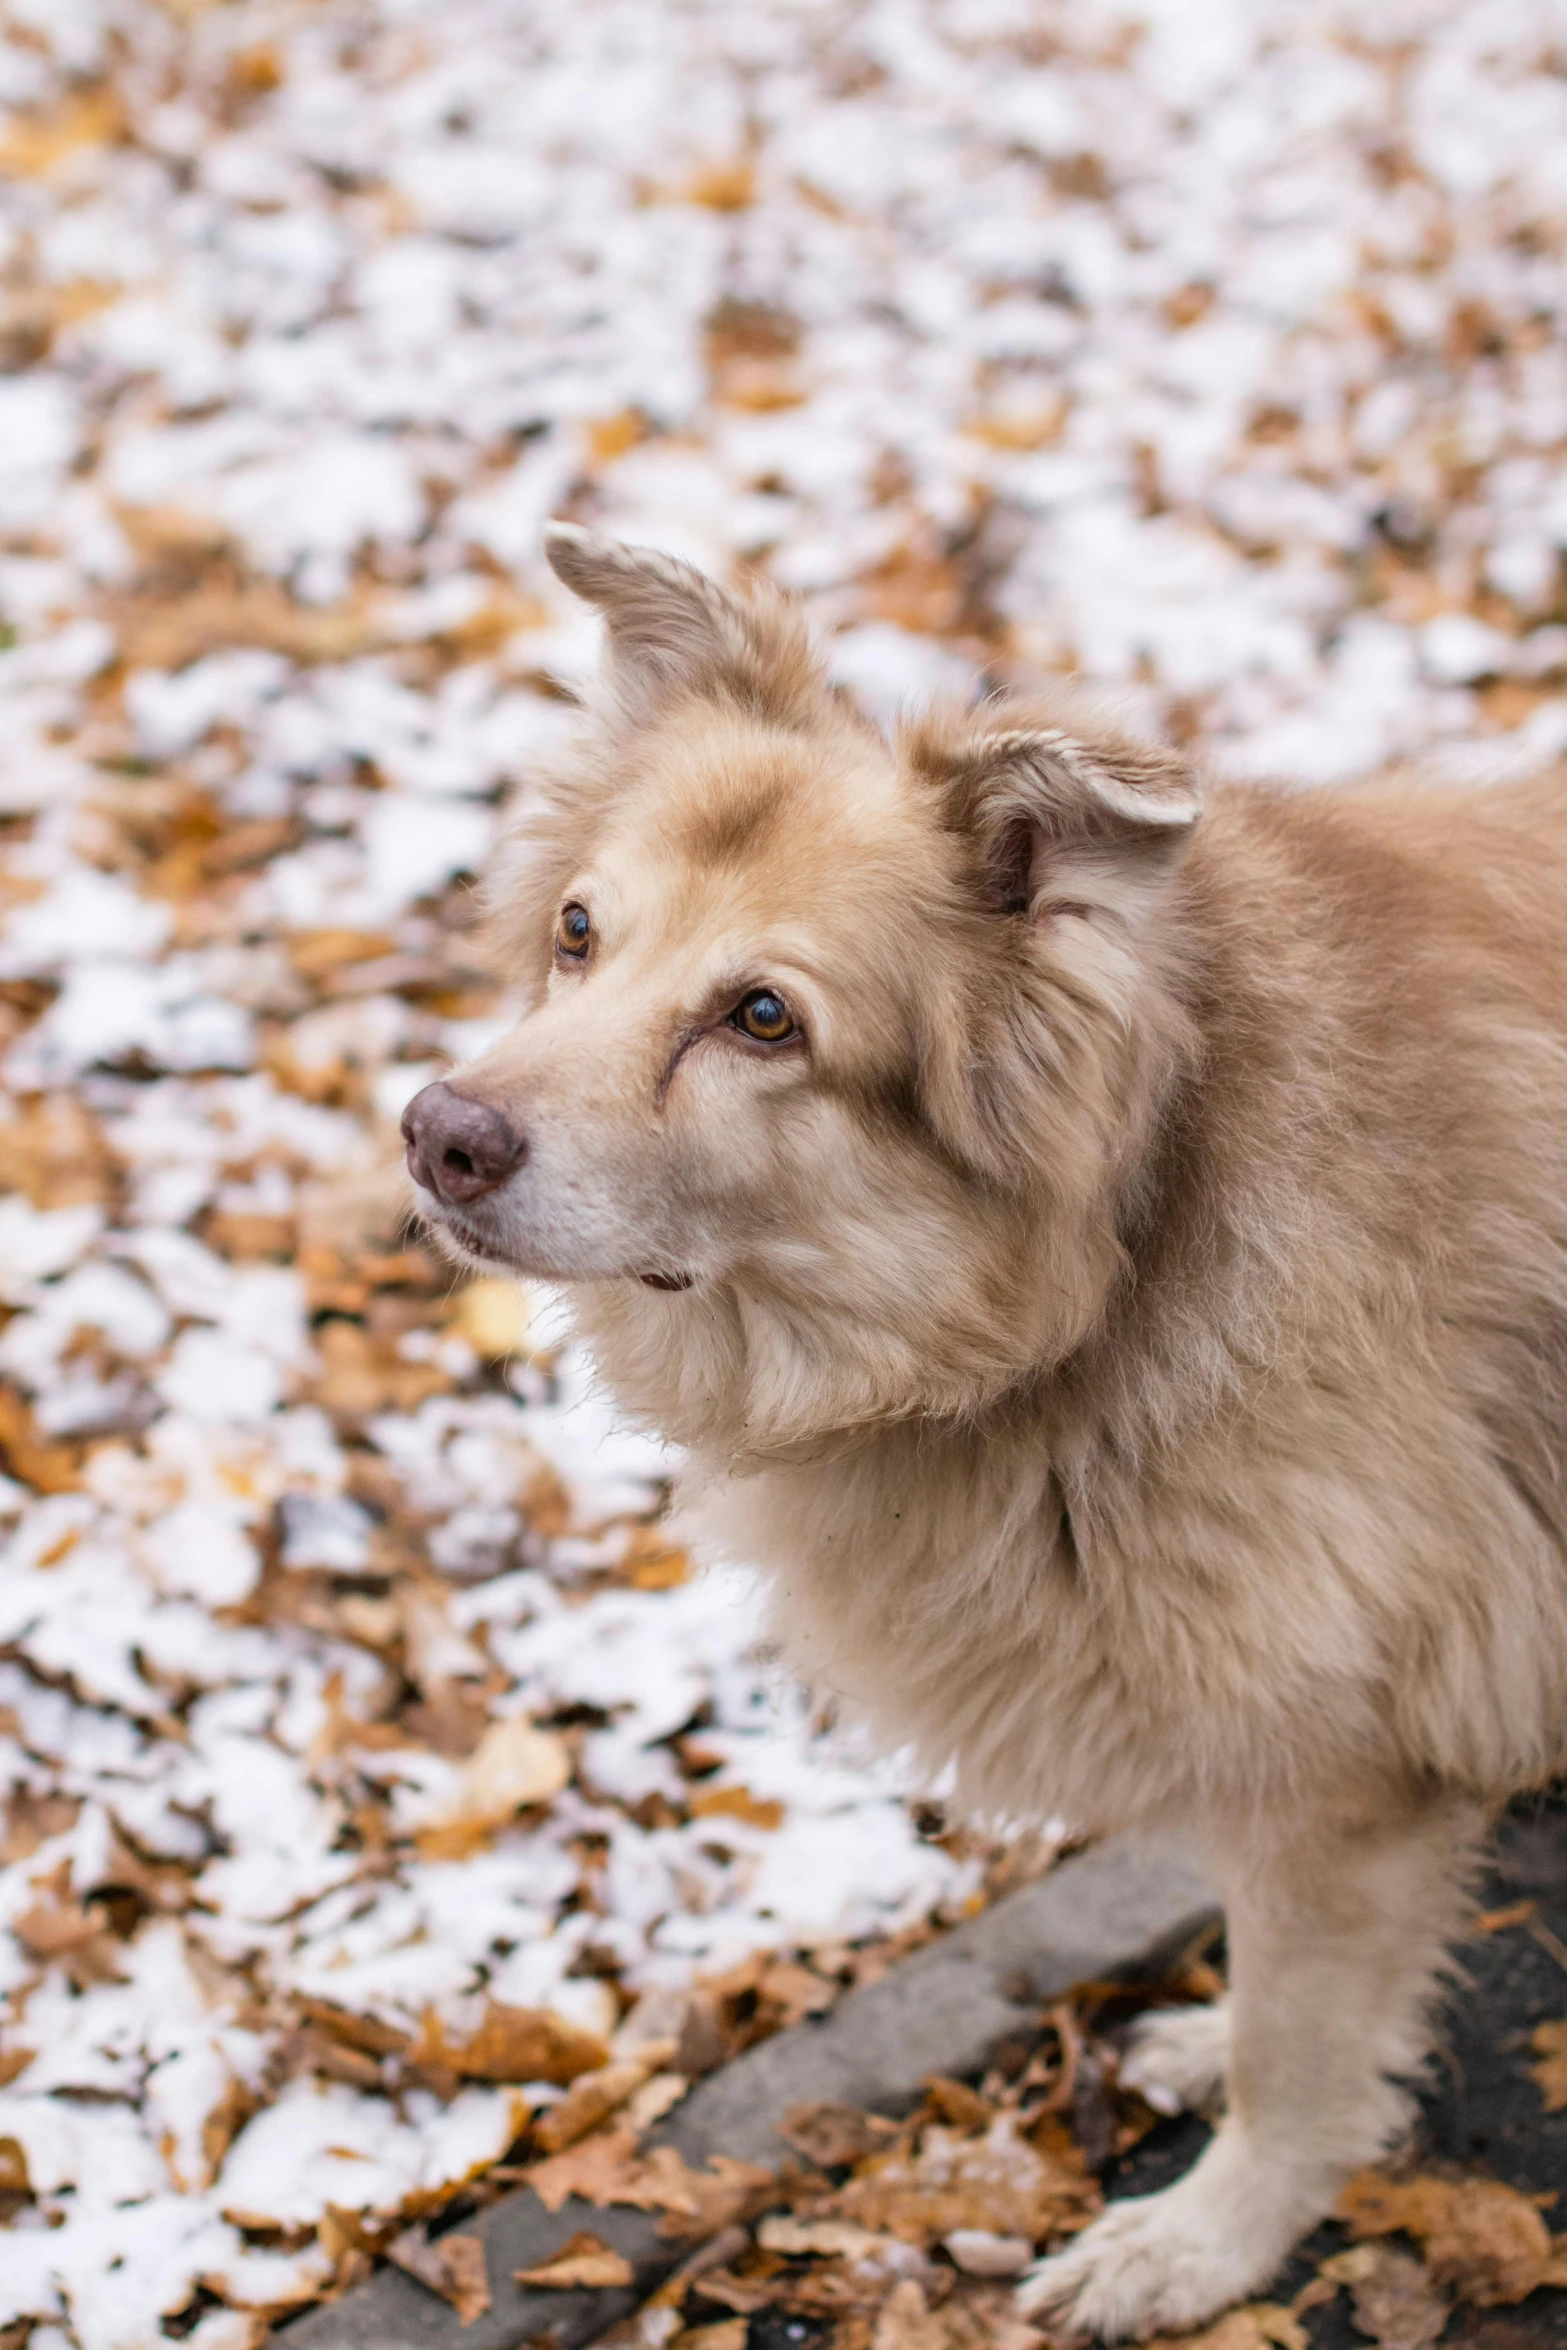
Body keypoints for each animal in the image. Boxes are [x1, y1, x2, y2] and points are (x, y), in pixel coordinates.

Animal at [404, 524, 1567, 2340]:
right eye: (579, 930)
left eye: (762, 1019)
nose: (435, 1135)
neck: (1122, 1266)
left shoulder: (1361, 1768)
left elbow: (1296, 2043)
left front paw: (1207, 2237)